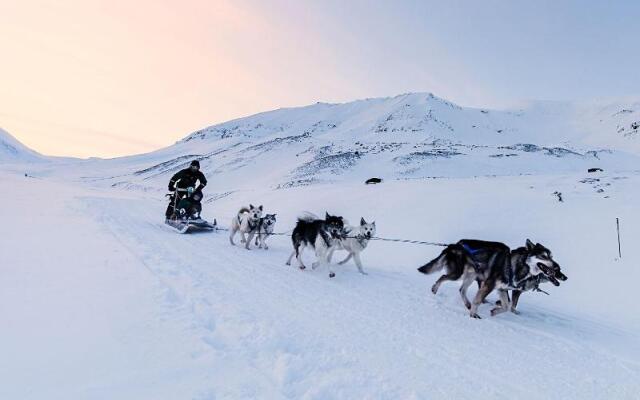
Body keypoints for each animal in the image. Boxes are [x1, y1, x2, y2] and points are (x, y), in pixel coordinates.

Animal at [420, 238, 564, 318]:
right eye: (543, 256)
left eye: (551, 257)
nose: (556, 266)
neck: (515, 265)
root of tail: (454, 245)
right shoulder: (489, 284)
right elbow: (478, 300)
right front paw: (473, 314)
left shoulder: (502, 289)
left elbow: (506, 306)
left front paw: (494, 311)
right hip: (458, 273)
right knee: (443, 276)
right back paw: (434, 289)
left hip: (471, 275)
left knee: (462, 289)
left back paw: (467, 304)